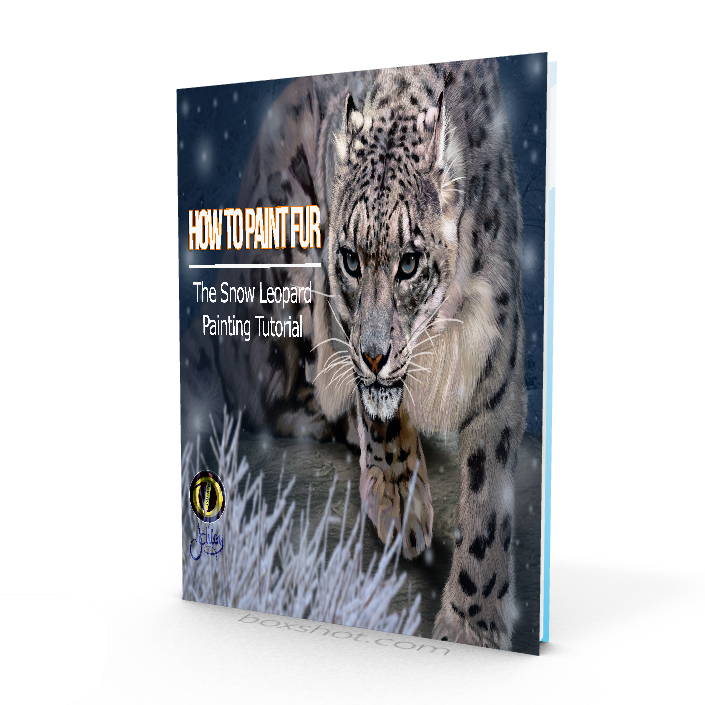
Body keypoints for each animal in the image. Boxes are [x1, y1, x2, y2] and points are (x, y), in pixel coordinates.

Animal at [180, 59, 526, 650]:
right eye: (349, 259)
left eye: (409, 262)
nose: (374, 354)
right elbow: (380, 418)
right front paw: (399, 503)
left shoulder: (498, 354)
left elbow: (488, 496)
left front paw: (471, 624)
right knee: (276, 395)